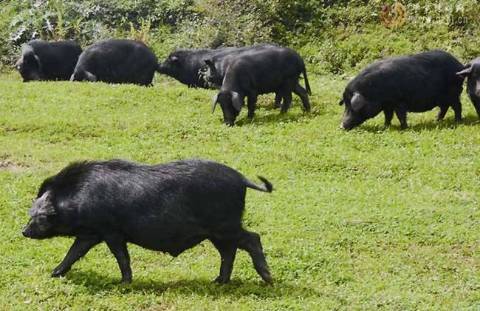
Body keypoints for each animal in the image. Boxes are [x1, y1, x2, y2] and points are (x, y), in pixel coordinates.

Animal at [22, 161, 274, 286]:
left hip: (225, 226)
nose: (24, 231)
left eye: (39, 216)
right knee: (229, 252)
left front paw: (124, 284)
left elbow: (121, 257)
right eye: (31, 213)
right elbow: (73, 252)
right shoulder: (91, 233)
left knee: (253, 238)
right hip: (217, 233)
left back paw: (268, 280)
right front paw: (54, 274)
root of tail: (241, 178)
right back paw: (219, 282)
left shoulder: (111, 231)